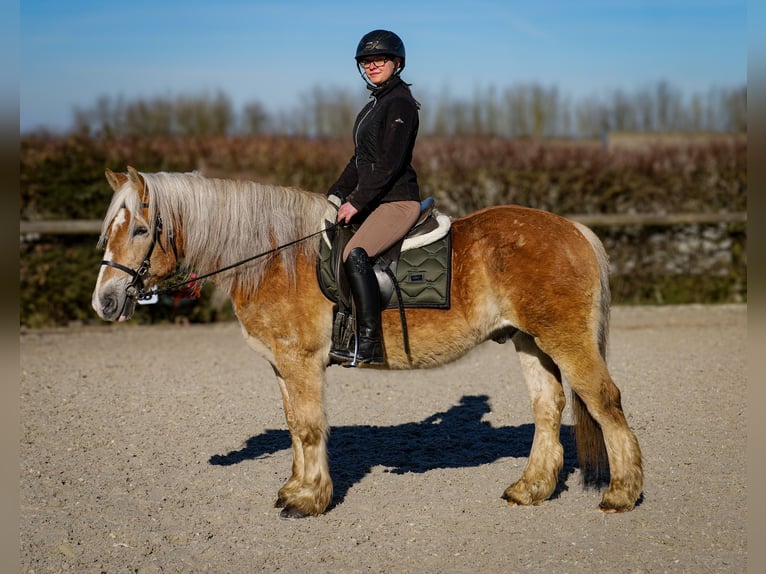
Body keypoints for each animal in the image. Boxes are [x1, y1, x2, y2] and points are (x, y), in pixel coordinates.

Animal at [90, 168, 644, 520]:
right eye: (108, 231)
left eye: (140, 229)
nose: (105, 301)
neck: (273, 258)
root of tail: (573, 228)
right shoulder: (282, 366)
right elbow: (293, 426)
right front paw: (295, 488)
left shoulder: (300, 362)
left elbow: (309, 427)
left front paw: (309, 500)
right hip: (529, 340)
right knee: (548, 408)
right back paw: (531, 489)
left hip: (564, 339)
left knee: (605, 402)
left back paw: (621, 494)